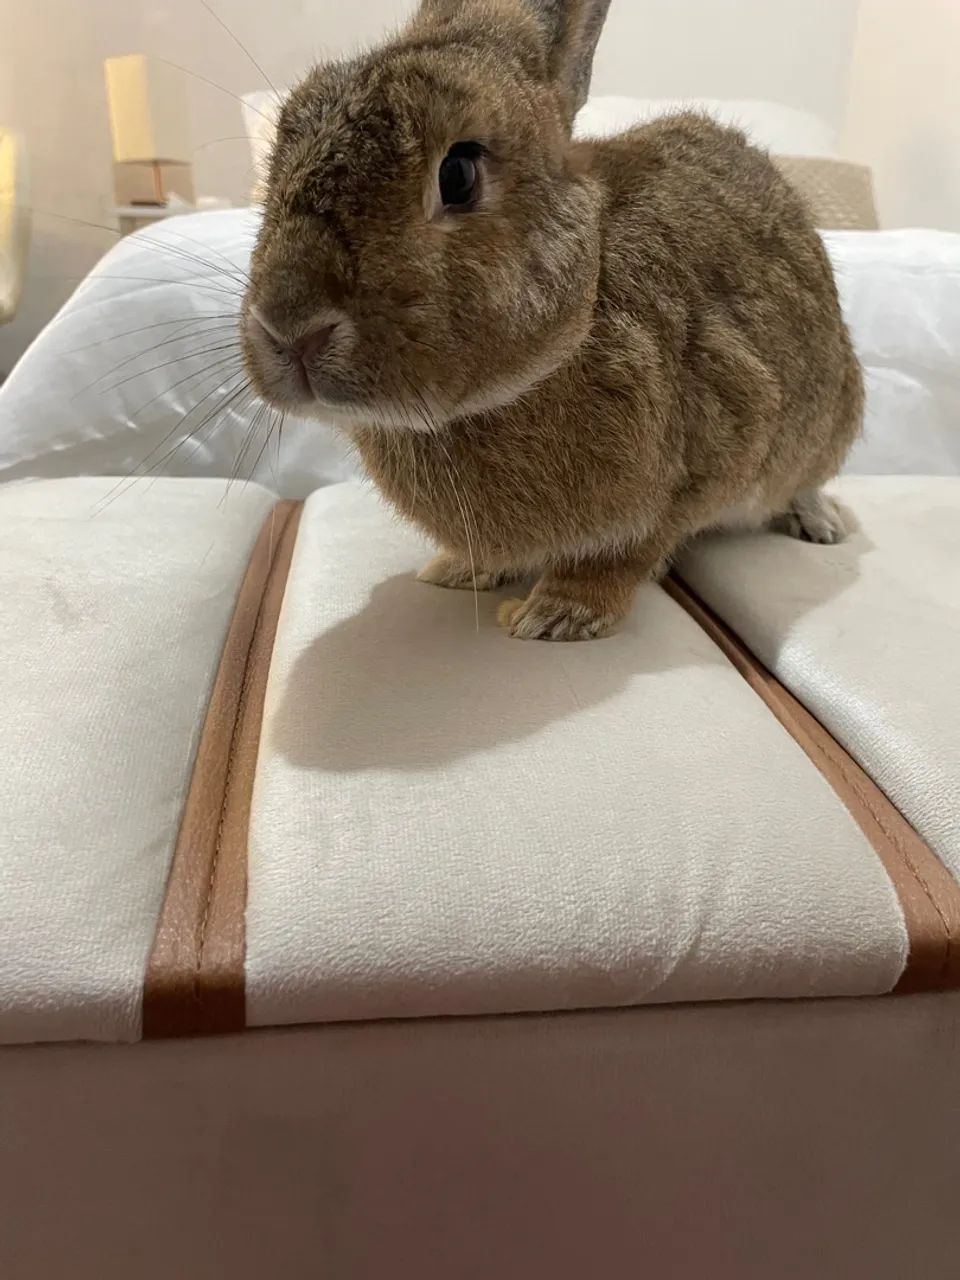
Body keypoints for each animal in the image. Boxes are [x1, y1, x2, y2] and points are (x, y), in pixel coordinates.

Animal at [242, 0, 863, 641]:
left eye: (458, 174)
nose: (289, 329)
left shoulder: (701, 462)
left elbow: (625, 554)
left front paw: (557, 616)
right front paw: (457, 571)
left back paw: (822, 525)